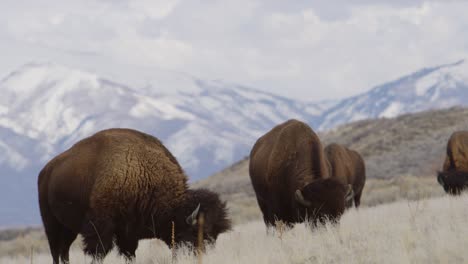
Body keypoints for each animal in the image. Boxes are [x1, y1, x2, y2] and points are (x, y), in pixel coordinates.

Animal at [37, 127, 231, 262]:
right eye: (198, 233)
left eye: (215, 235)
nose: (205, 257)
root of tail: (46, 170)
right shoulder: (101, 227)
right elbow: (99, 252)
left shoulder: (128, 233)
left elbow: (129, 254)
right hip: (51, 224)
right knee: (56, 251)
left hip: (68, 228)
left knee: (64, 250)